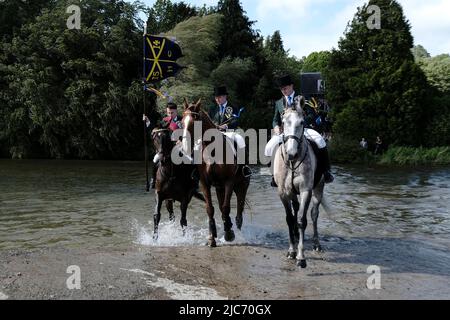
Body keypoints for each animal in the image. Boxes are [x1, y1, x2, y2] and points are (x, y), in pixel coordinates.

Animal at [180, 99, 250, 248]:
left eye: (195, 121)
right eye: (182, 122)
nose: (185, 148)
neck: (212, 150)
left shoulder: (229, 182)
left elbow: (226, 207)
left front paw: (229, 235)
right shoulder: (204, 183)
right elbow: (210, 209)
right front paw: (212, 237)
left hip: (242, 185)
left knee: (239, 209)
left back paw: (236, 230)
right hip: (219, 187)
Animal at [272, 96, 326, 268]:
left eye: (302, 122)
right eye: (283, 121)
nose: (291, 153)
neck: (292, 163)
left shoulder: (305, 191)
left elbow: (302, 219)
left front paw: (301, 257)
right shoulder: (283, 193)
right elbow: (290, 219)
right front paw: (291, 251)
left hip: (319, 188)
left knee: (314, 214)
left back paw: (316, 244)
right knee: (295, 209)